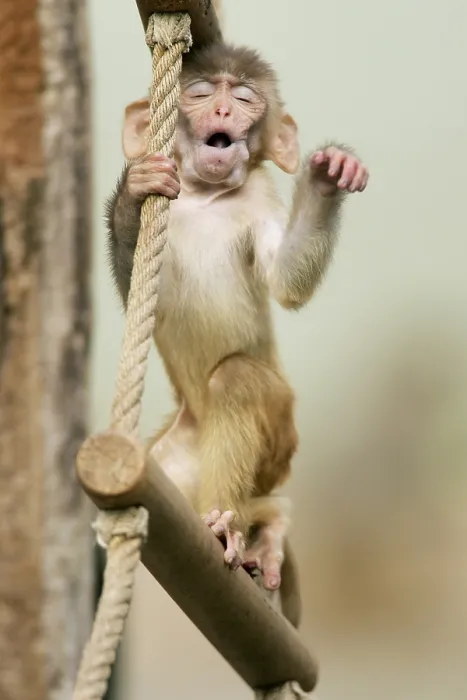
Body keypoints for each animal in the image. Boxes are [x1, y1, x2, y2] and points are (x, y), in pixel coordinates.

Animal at [105, 41, 369, 608]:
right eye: (203, 93)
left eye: (245, 98)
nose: (224, 112)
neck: (206, 195)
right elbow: (136, 286)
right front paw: (135, 192)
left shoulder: (258, 199)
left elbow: (287, 280)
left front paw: (327, 177)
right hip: (175, 463)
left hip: (282, 439)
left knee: (238, 379)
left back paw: (249, 526)